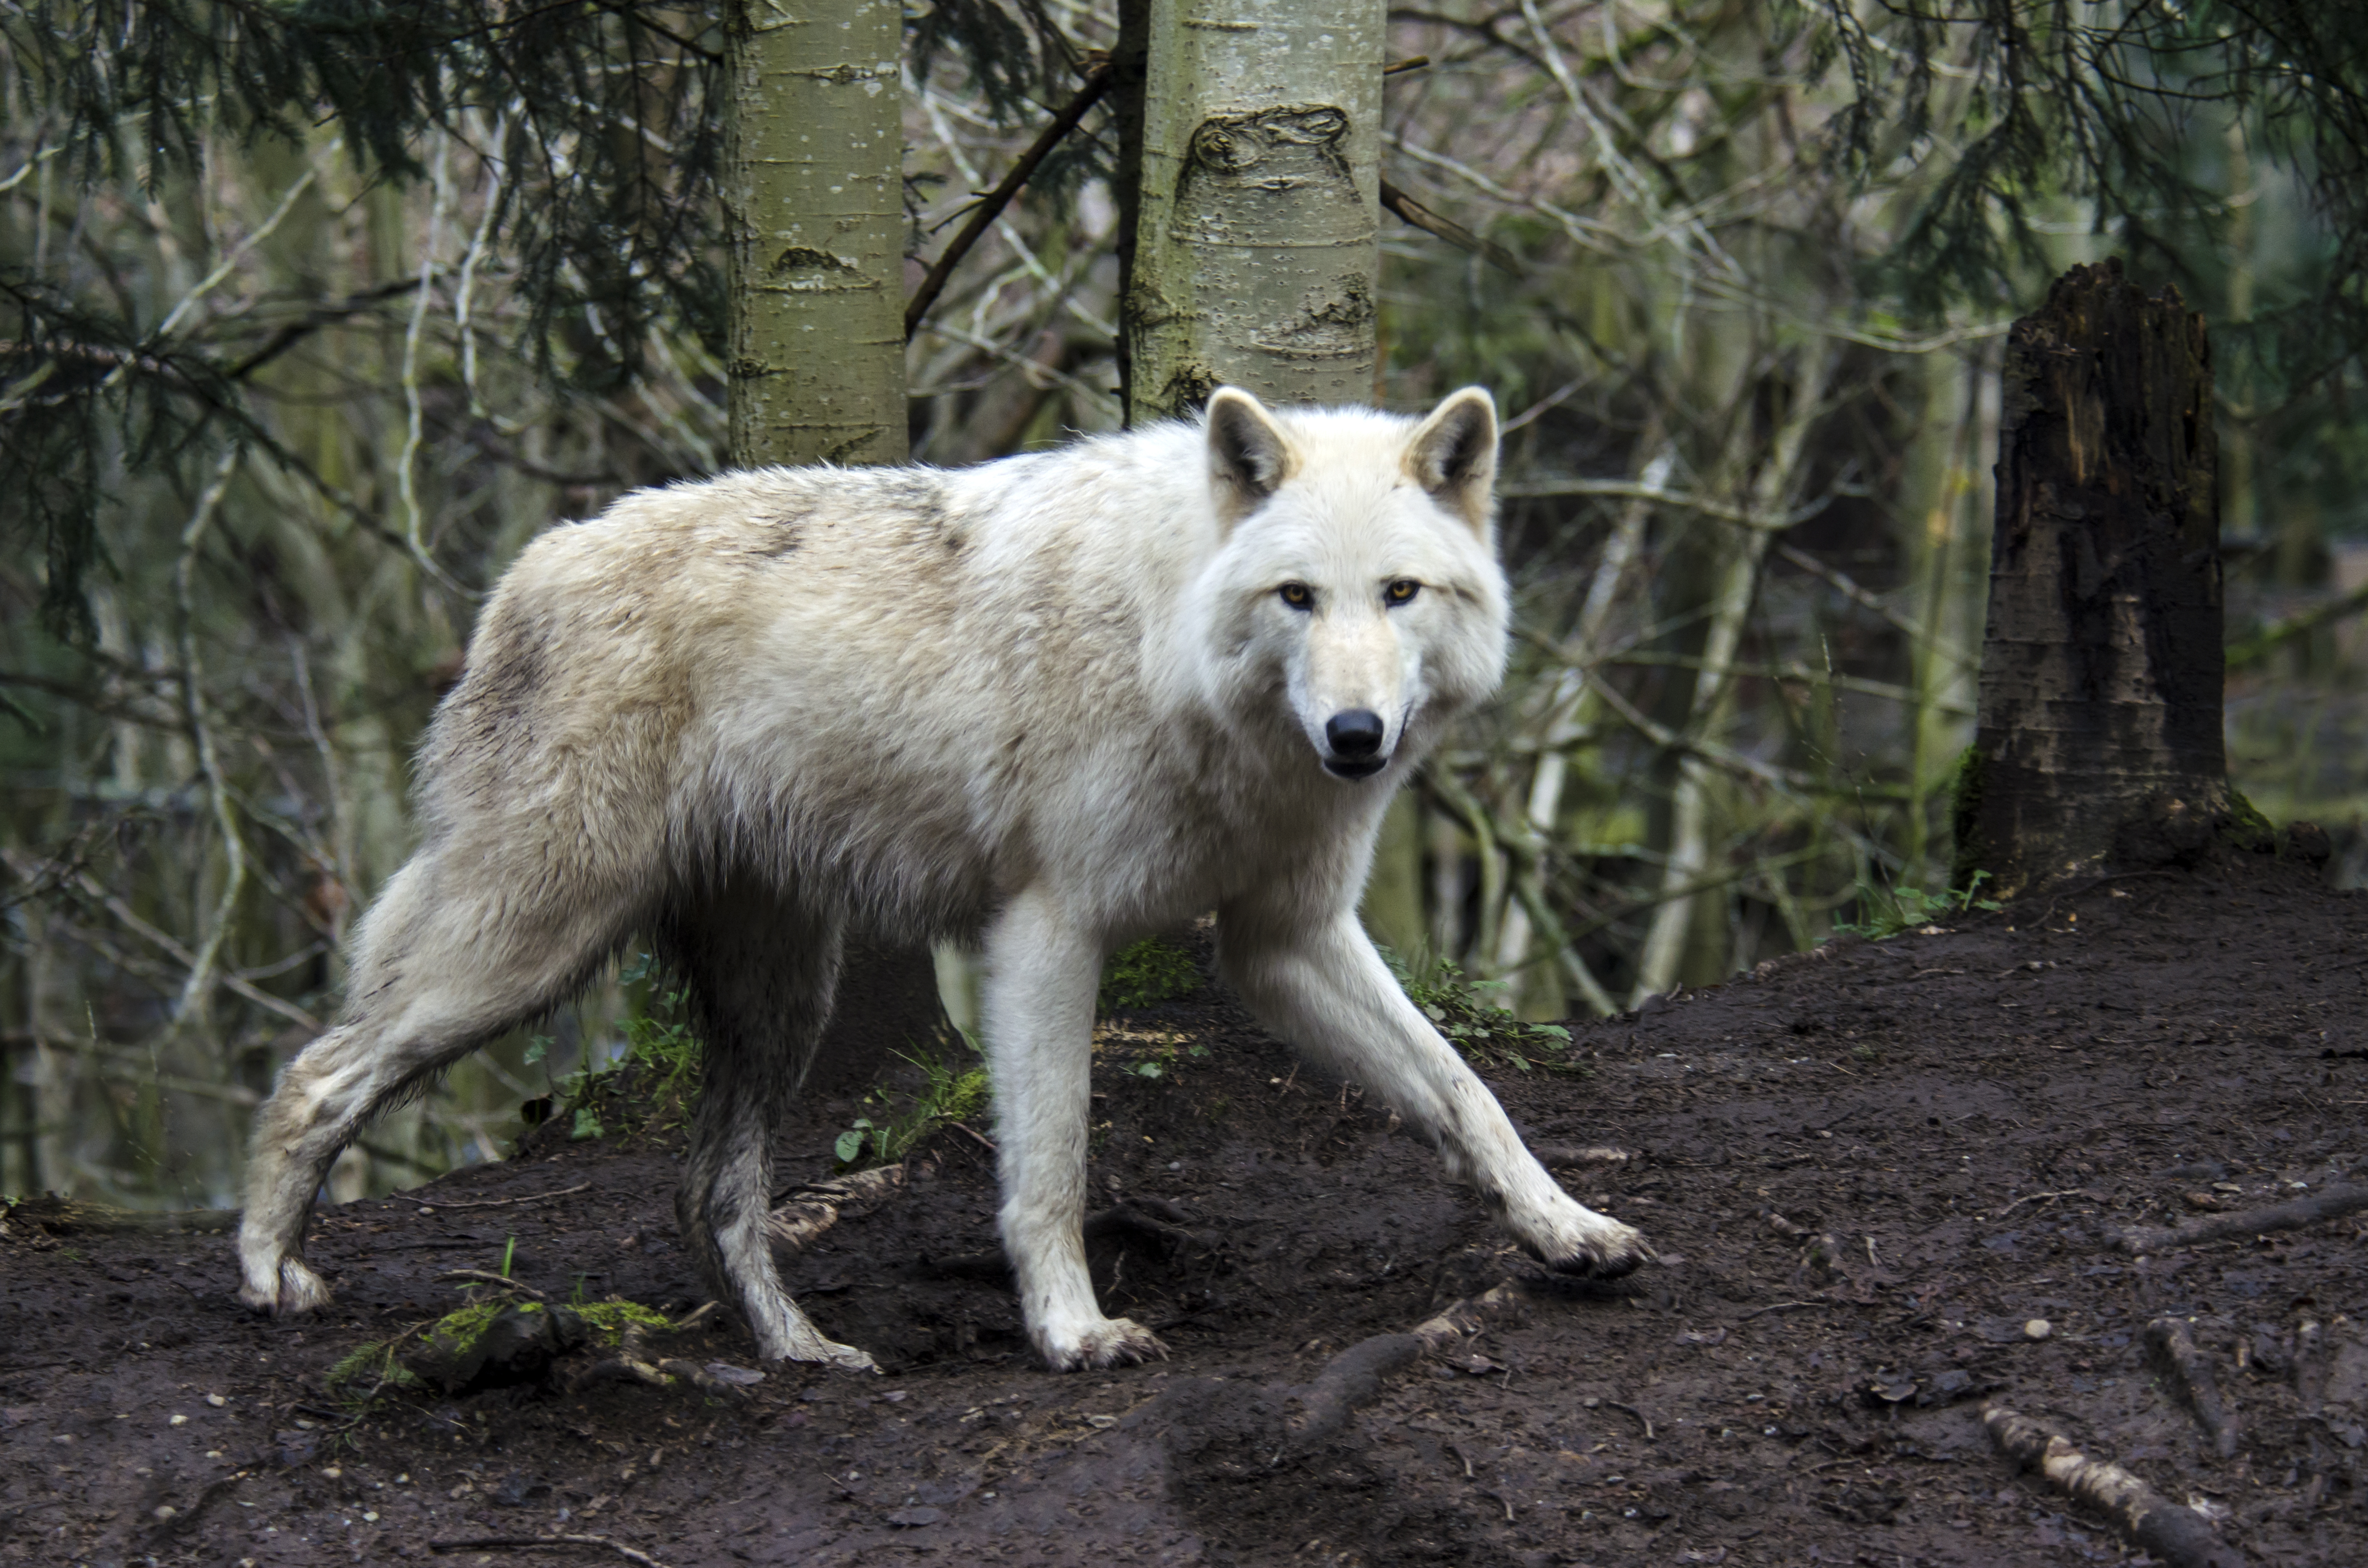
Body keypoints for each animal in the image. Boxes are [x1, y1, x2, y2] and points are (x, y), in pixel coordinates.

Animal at [236, 386, 1652, 1371]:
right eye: (1298, 596)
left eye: (1399, 592)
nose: (1355, 737)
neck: (1175, 650)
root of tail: (527, 568)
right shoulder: (1046, 931)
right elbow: (1052, 1164)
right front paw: (1074, 1332)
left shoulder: (1284, 939)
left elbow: (1466, 1090)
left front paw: (1567, 1226)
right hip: (534, 942)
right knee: (317, 1071)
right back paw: (266, 1272)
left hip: (778, 1000)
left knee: (710, 1194)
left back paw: (802, 1351)